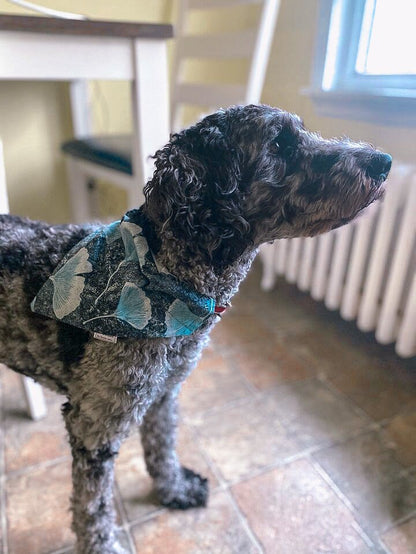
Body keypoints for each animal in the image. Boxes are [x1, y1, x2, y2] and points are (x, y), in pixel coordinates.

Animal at [0, 102, 392, 548]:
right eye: (279, 144)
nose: (384, 161)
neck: (163, 271)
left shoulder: (163, 393)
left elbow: (162, 446)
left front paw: (173, 490)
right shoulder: (94, 425)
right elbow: (93, 507)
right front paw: (103, 545)